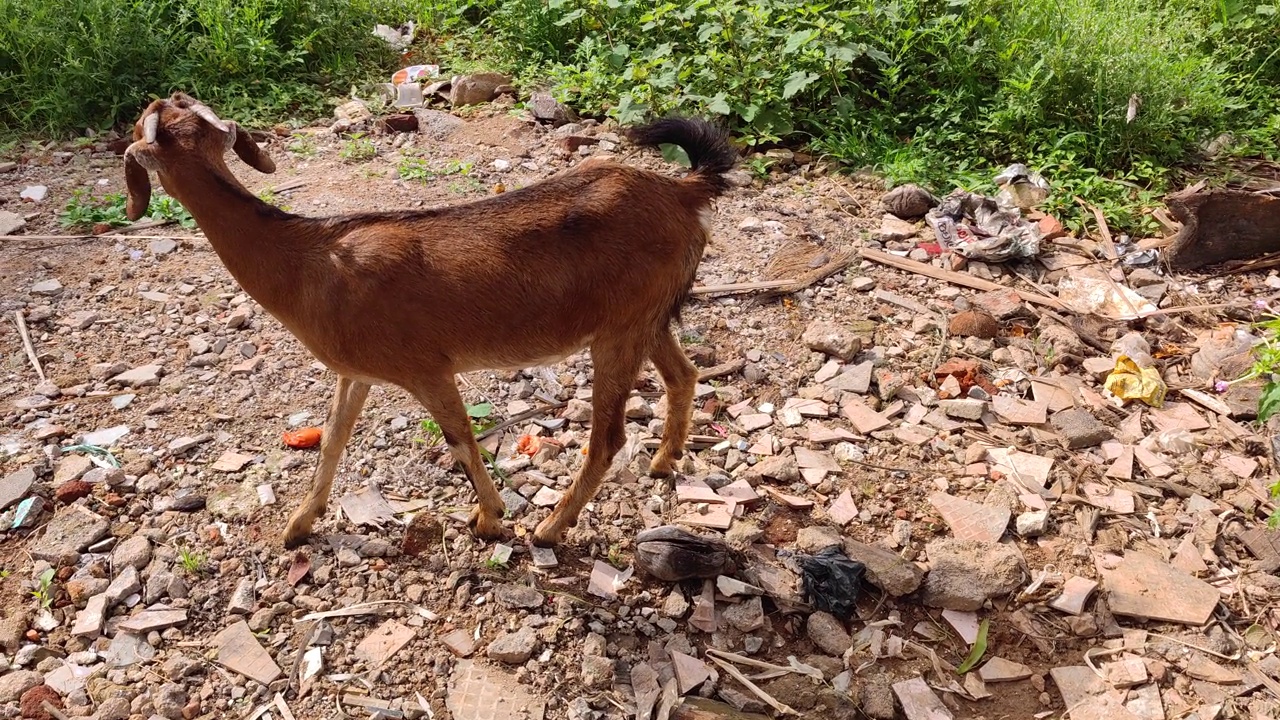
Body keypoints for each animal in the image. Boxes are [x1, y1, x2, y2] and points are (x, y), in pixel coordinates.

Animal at [123, 92, 737, 545]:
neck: (309, 261)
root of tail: (683, 192)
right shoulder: (356, 373)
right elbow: (332, 441)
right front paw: (298, 525)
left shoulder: (426, 369)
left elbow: (460, 438)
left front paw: (490, 520)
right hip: (645, 318)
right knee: (683, 375)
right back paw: (664, 461)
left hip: (619, 330)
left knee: (608, 437)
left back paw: (550, 527)